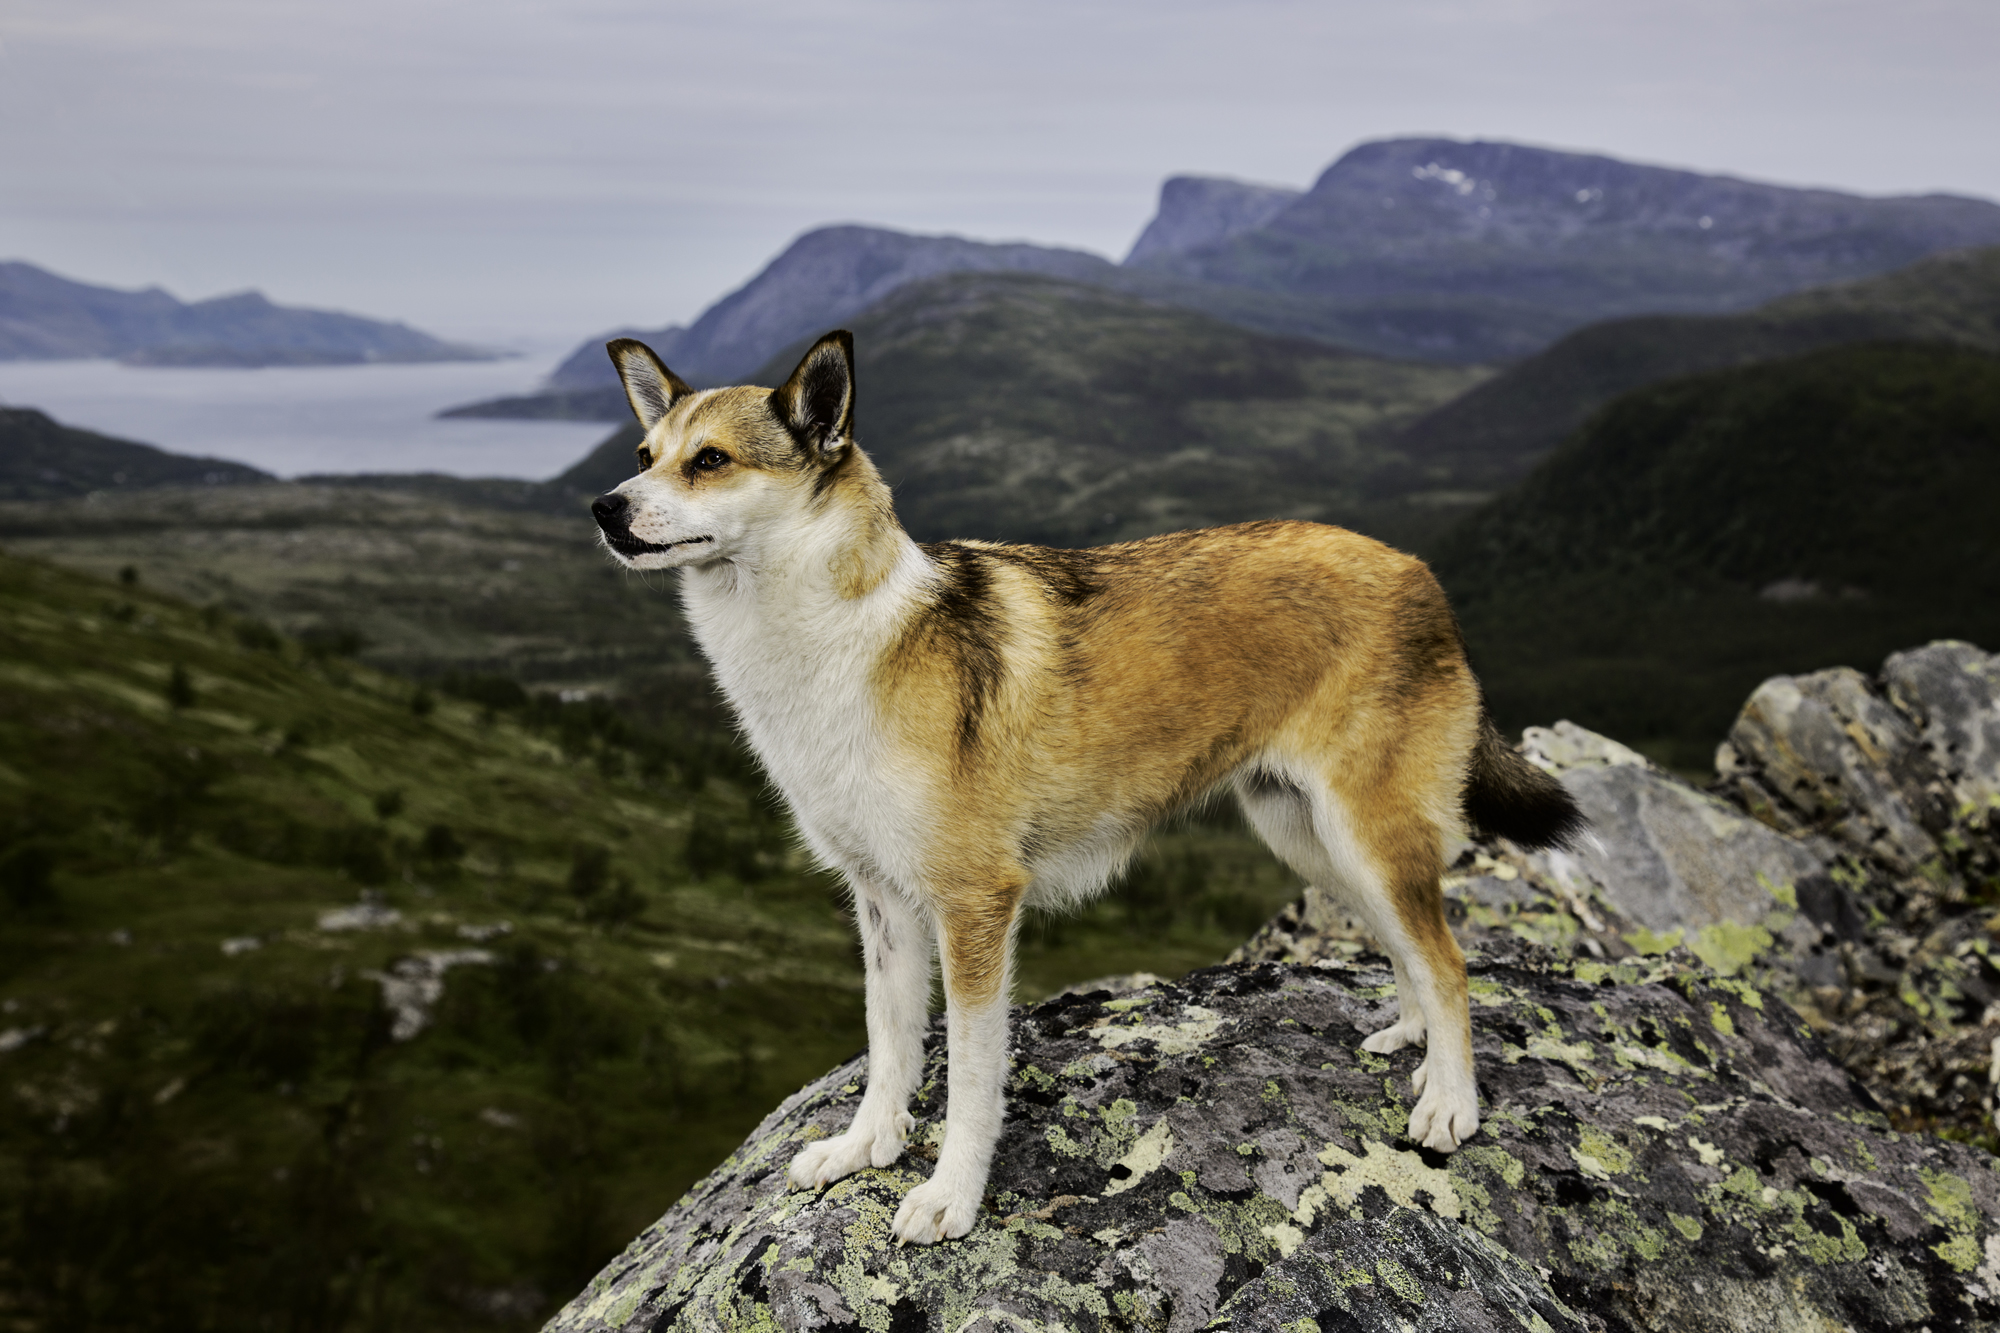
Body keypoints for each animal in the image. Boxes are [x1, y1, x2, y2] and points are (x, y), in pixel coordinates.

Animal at [584, 326, 1584, 1240]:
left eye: (710, 461)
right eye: (643, 456)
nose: (603, 506)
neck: (836, 635)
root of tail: (1418, 572)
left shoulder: (975, 904)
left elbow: (970, 1075)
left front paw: (950, 1197)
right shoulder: (883, 902)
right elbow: (889, 1041)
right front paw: (864, 1146)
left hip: (1367, 831)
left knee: (1449, 962)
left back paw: (1450, 1104)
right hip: (1308, 835)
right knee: (1408, 946)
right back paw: (1412, 1043)